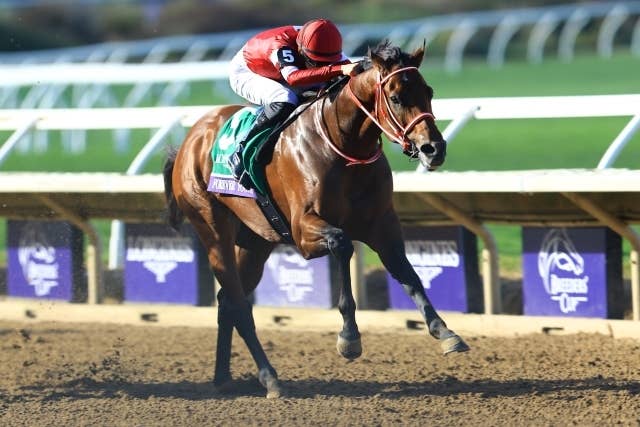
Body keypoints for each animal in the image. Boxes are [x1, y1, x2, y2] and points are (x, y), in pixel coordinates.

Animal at [163, 40, 469, 398]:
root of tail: (190, 140)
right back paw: (270, 378)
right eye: (395, 97)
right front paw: (349, 339)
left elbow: (408, 274)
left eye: (428, 91)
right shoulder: (303, 232)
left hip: (256, 242)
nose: (434, 149)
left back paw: (223, 377)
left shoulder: (382, 225)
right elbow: (343, 244)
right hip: (213, 231)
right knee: (238, 303)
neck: (342, 144)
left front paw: (446, 332)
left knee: (227, 302)